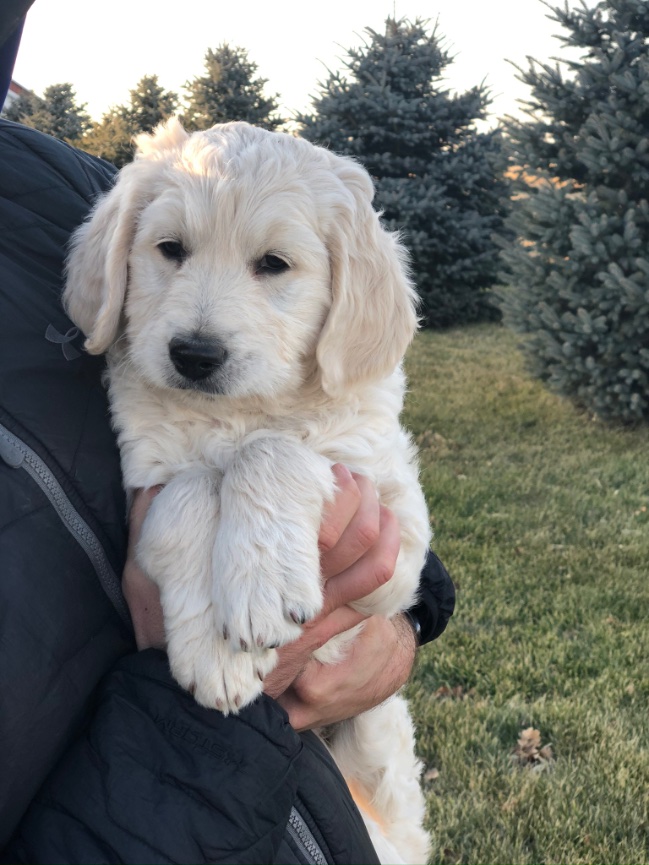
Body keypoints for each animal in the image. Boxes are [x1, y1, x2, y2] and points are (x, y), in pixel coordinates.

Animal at [64, 120, 430, 864]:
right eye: (171, 249)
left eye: (274, 265)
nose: (194, 354)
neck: (235, 415)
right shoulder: (146, 478)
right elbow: (190, 490)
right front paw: (214, 651)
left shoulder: (397, 536)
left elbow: (273, 452)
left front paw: (259, 589)